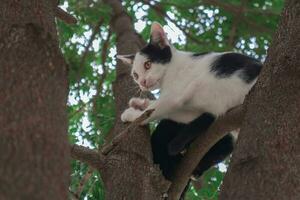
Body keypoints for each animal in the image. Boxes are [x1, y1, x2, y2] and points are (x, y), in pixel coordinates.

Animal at [116, 22, 262, 181]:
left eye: (148, 64)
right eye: (135, 75)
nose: (142, 82)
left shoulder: (175, 96)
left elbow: (157, 109)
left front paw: (132, 115)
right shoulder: (187, 107)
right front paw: (139, 103)